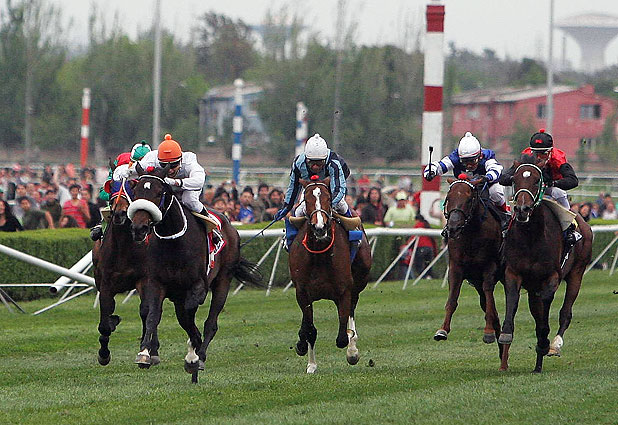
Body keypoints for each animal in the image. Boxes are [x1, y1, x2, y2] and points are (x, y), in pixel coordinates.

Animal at [92, 178, 149, 366]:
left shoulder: (143, 279)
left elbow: (145, 311)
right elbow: (104, 322)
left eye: (132, 190)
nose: (119, 213)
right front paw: (103, 354)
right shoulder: (105, 284)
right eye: (112, 191)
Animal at [127, 164, 262, 383]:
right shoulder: (156, 283)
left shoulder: (198, 287)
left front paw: (192, 354)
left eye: (159, 193)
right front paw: (145, 353)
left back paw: (201, 356)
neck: (174, 242)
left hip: (223, 281)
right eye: (136, 191)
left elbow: (189, 316)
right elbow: (153, 315)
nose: (139, 228)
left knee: (211, 323)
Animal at [288, 177, 372, 373]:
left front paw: (351, 351)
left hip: (356, 286)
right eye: (306, 200)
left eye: (328, 198)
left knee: (351, 315)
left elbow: (342, 335)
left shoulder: (344, 291)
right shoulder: (302, 292)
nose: (320, 227)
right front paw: (311, 364)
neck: (320, 254)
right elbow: (310, 329)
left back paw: (353, 350)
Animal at [434, 176, 506, 360]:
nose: (453, 227)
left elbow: (489, 295)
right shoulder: (456, 267)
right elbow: (452, 298)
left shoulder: (489, 267)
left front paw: (488, 332)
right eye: (448, 198)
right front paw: (442, 330)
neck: (471, 234)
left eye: (468, 199)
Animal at [498, 156, 592, 373]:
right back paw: (538, 364)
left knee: (565, 312)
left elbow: (545, 309)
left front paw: (544, 342)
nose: (522, 209)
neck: (531, 236)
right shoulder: (514, 273)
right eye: (515, 179)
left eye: (536, 180)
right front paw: (506, 335)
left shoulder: (551, 277)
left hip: (577, 273)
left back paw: (554, 345)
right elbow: (513, 300)